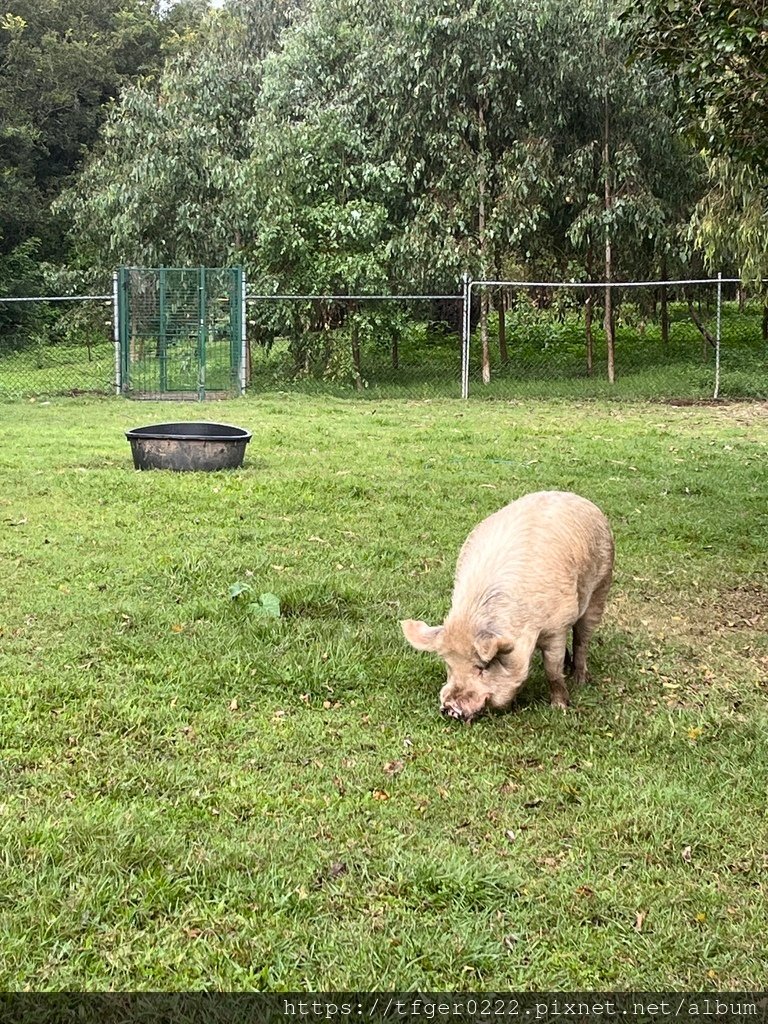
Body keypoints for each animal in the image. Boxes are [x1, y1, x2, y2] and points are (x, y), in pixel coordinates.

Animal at [403, 489, 614, 720]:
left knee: (582, 639)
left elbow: (552, 670)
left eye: (483, 667)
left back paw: (579, 680)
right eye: (449, 665)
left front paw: (560, 708)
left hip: (601, 586)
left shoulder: (557, 627)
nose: (450, 708)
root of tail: (576, 497)